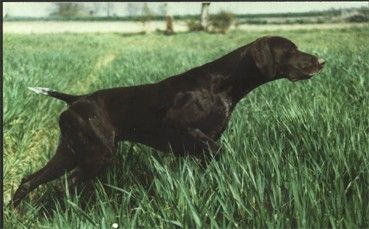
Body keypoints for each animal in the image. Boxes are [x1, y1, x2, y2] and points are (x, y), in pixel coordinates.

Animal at [10, 35, 324, 208]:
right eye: (291, 50)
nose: (322, 62)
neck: (223, 84)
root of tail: (75, 99)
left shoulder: (203, 146)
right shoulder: (182, 128)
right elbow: (217, 149)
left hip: (70, 152)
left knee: (29, 181)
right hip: (97, 155)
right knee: (65, 185)